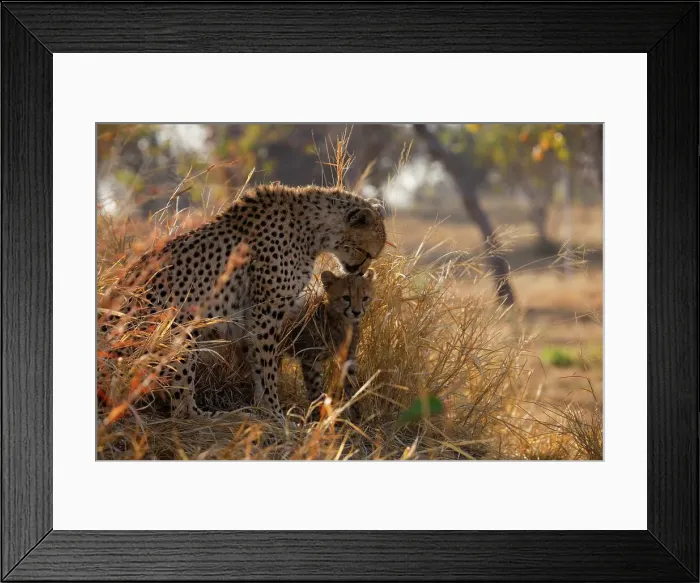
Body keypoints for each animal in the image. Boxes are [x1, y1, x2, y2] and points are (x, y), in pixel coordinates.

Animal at [101, 184, 386, 422]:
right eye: (367, 253)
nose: (360, 272)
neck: (311, 230)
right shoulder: (266, 311)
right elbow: (268, 366)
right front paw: (276, 413)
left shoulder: (254, 316)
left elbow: (258, 364)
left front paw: (263, 410)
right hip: (180, 330)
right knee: (182, 409)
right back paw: (221, 417)